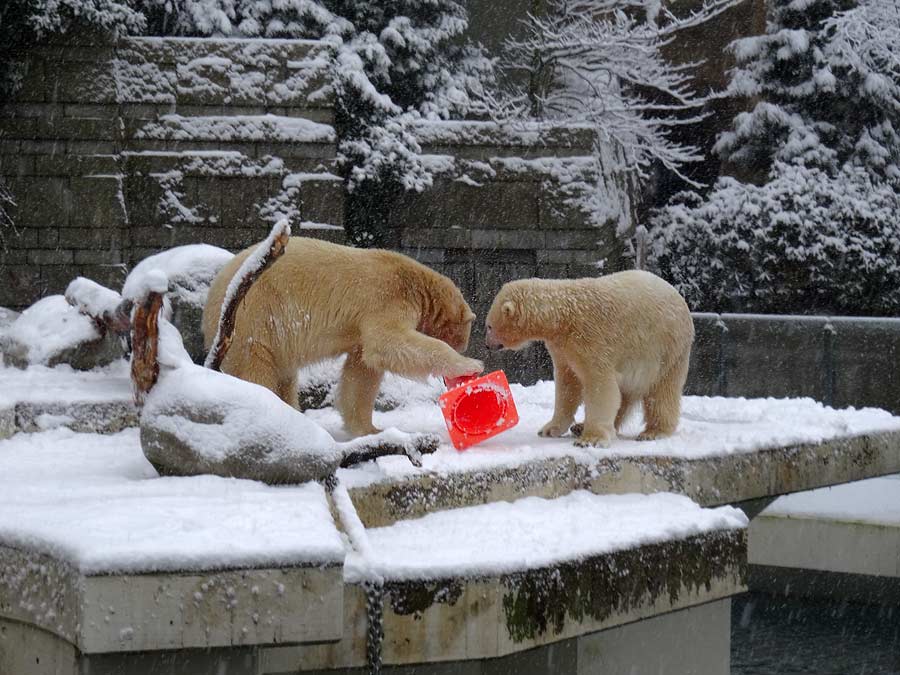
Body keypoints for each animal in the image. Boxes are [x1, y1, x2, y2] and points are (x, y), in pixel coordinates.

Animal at [204, 238, 486, 438]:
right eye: (463, 339)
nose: (465, 347)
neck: (415, 283)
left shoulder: (363, 328)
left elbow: (362, 370)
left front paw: (370, 429)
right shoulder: (385, 298)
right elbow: (388, 342)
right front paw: (470, 364)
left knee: (285, 376)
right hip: (256, 315)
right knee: (255, 368)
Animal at [488, 270, 692, 448]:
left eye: (489, 326)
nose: (488, 344)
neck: (563, 316)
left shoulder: (592, 338)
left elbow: (599, 385)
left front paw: (590, 440)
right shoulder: (562, 348)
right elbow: (567, 384)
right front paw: (549, 429)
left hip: (667, 349)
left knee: (662, 392)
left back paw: (653, 432)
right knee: (625, 394)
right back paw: (580, 426)